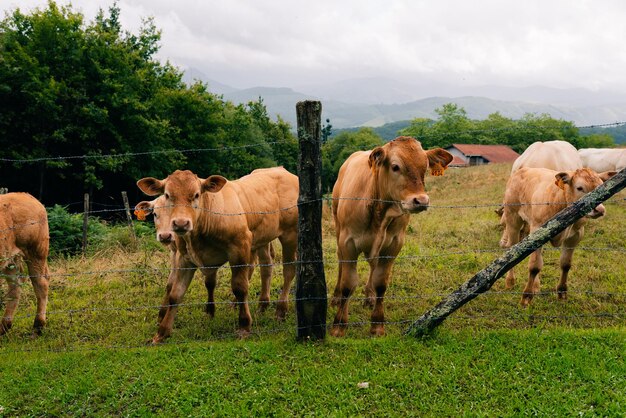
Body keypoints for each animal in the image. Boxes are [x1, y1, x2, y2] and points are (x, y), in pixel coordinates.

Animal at [0, 193, 50, 336]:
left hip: (36, 251)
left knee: (41, 283)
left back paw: (38, 326)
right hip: (10, 258)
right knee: (16, 284)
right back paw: (4, 326)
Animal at [137, 167, 298, 342]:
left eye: (196, 195)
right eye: (167, 195)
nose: (180, 223)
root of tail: (281, 170)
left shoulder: (239, 249)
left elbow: (240, 288)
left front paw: (244, 326)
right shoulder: (184, 258)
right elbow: (175, 293)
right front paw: (161, 333)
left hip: (290, 235)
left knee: (288, 271)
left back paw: (281, 310)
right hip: (263, 238)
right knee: (266, 267)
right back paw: (262, 305)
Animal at [332, 137, 448, 336]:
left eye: (425, 167)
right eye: (395, 167)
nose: (421, 201)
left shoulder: (394, 244)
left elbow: (381, 283)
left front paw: (377, 325)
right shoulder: (348, 243)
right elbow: (348, 284)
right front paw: (339, 326)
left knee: (373, 266)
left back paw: (369, 297)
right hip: (338, 228)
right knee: (341, 263)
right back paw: (336, 297)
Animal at [500, 167, 612, 306]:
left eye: (602, 186)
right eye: (580, 188)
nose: (600, 210)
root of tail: (524, 169)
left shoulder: (575, 236)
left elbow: (565, 264)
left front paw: (562, 292)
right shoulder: (536, 230)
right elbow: (534, 266)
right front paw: (526, 296)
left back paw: (536, 286)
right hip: (513, 220)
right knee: (511, 248)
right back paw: (510, 281)